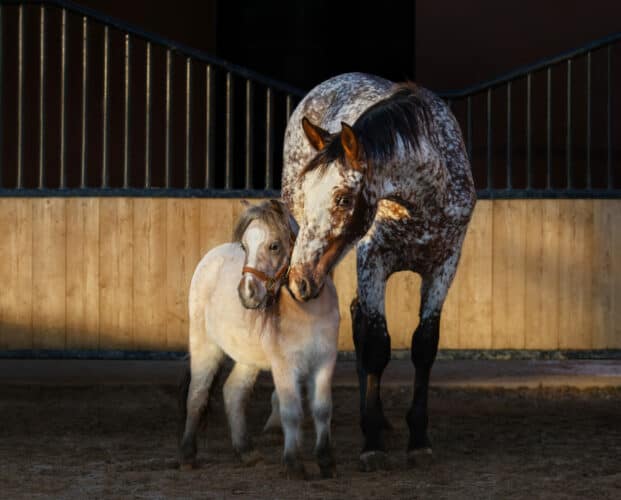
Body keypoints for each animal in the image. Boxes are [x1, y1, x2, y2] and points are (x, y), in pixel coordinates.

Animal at [179, 200, 340, 480]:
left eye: (274, 245)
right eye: (245, 246)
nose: (247, 293)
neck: (308, 310)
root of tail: (210, 257)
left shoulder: (325, 361)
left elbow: (322, 410)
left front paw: (325, 461)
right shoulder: (285, 366)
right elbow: (291, 411)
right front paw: (293, 464)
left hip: (248, 358)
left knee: (233, 392)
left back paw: (247, 452)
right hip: (204, 345)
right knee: (197, 395)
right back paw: (188, 455)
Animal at [280, 72, 474, 470]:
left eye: (342, 198)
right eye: (308, 190)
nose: (299, 280)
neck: (423, 198)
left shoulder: (445, 265)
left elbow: (423, 345)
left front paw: (418, 439)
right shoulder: (373, 261)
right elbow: (376, 346)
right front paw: (372, 445)